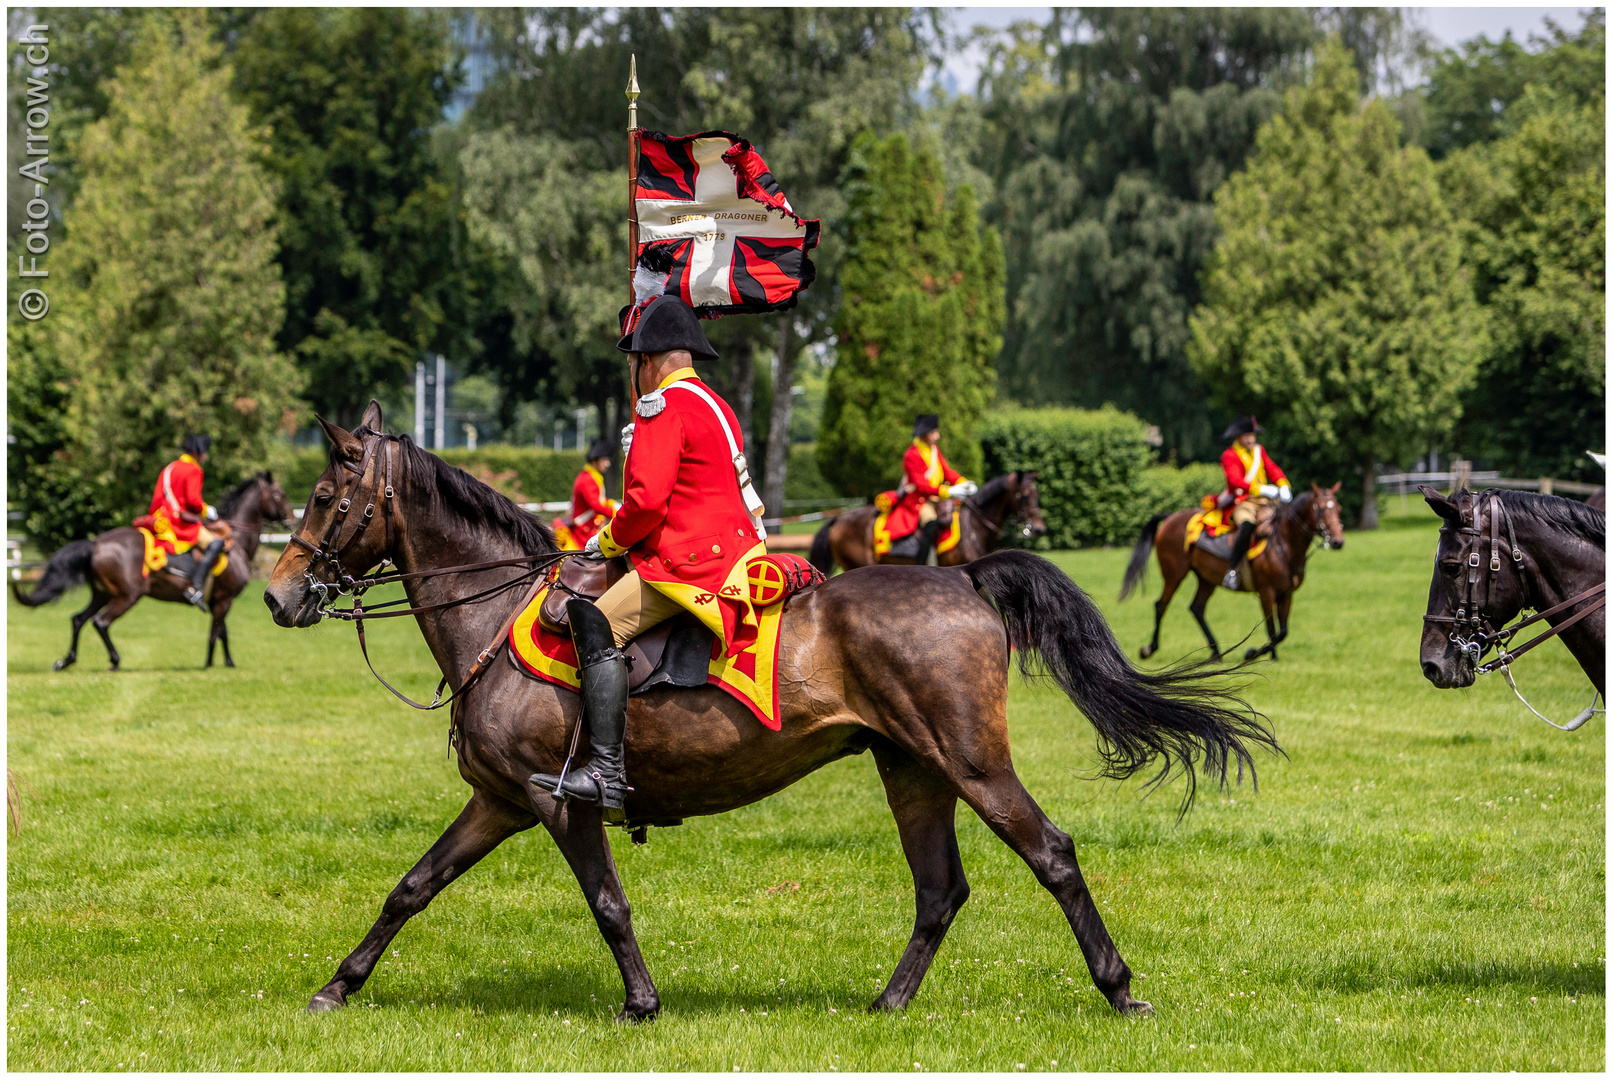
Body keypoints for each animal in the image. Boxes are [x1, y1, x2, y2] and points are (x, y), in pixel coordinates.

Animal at [11, 477, 296, 673]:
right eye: (279, 494)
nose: (292, 519)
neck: (234, 542)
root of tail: (96, 543)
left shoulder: (218, 600)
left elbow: (222, 631)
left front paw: (227, 662)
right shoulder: (224, 599)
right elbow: (216, 632)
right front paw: (209, 664)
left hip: (102, 595)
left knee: (78, 620)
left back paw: (66, 660)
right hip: (126, 597)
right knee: (100, 623)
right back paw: (114, 661)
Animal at [1122, 483, 1348, 667]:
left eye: (1338, 508)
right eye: (1321, 509)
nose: (1338, 541)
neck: (1283, 544)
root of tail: (1170, 517)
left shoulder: (1286, 593)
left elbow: (1282, 632)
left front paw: (1266, 654)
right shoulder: (1266, 592)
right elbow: (1272, 629)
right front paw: (1257, 654)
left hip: (1206, 579)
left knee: (1196, 607)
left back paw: (1215, 652)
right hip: (1174, 574)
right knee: (1161, 605)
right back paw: (1149, 648)